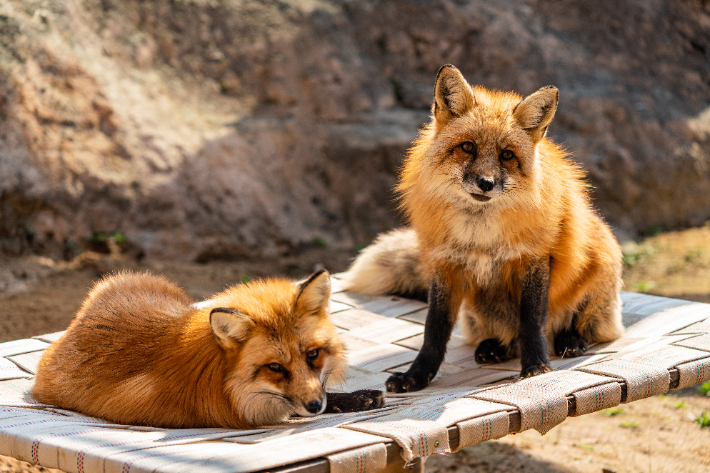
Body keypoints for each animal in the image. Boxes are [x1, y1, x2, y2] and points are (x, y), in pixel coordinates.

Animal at [342, 65, 624, 390]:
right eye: (468, 147)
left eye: (507, 155)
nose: (486, 183)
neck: (480, 235)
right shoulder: (445, 265)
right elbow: (433, 330)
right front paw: (416, 376)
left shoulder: (534, 260)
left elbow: (532, 323)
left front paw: (536, 366)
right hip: (478, 311)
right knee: (507, 337)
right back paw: (494, 348)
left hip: (601, 267)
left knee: (583, 328)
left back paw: (570, 339)